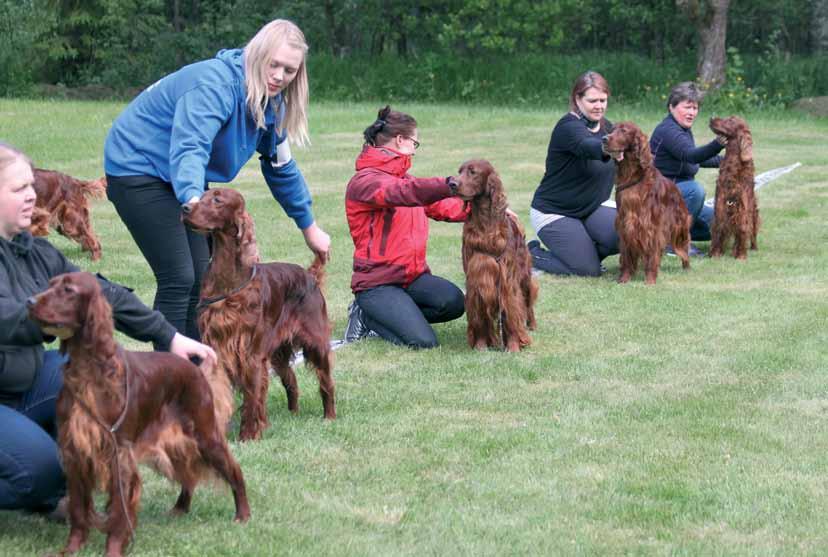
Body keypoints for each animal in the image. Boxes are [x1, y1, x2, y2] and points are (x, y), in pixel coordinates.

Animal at [28, 272, 249, 556]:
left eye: (68, 290)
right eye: (50, 284)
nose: (30, 302)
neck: (89, 369)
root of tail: (194, 368)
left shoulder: (118, 453)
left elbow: (119, 513)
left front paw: (112, 550)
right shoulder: (75, 451)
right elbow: (78, 509)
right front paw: (71, 549)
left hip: (205, 434)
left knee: (234, 470)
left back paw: (243, 514)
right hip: (173, 442)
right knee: (188, 473)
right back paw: (180, 507)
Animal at [183, 189, 334, 440]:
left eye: (217, 199)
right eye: (201, 197)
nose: (184, 208)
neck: (228, 280)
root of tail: (309, 274)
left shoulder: (250, 353)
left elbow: (252, 398)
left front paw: (248, 436)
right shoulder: (217, 348)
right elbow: (218, 393)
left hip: (316, 342)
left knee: (326, 381)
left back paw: (329, 416)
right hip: (278, 353)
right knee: (291, 379)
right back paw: (293, 413)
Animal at [600, 123, 692, 284]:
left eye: (624, 131)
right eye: (612, 130)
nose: (604, 139)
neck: (631, 175)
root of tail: (676, 189)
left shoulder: (651, 227)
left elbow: (652, 255)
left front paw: (650, 280)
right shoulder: (625, 226)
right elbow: (626, 257)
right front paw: (624, 278)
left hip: (680, 226)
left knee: (684, 246)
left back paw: (686, 267)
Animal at [708, 116, 760, 260]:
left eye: (731, 120)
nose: (711, 118)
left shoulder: (743, 206)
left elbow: (742, 228)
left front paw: (741, 256)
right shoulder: (721, 202)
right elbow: (719, 227)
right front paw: (715, 254)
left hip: (753, 211)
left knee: (752, 231)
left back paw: (752, 247)